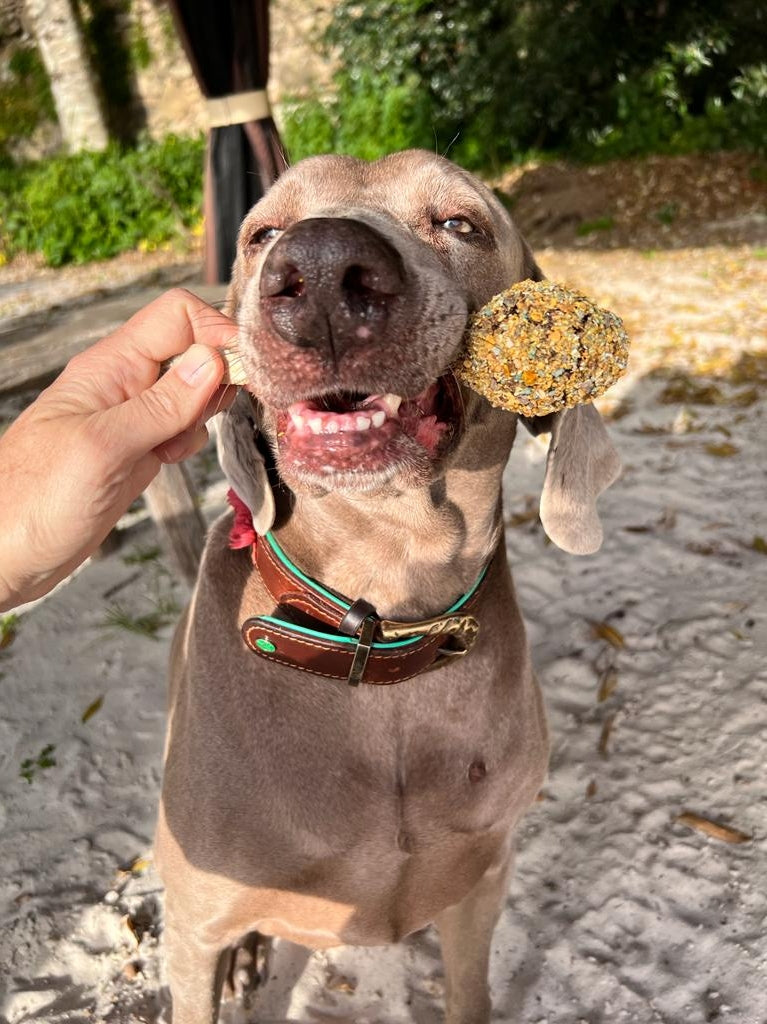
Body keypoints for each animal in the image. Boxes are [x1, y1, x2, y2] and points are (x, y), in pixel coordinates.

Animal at [155, 146, 622, 1024]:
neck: (378, 628)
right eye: (259, 234)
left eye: (461, 223)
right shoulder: (193, 928)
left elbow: (469, 990)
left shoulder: (481, 874)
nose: (320, 267)